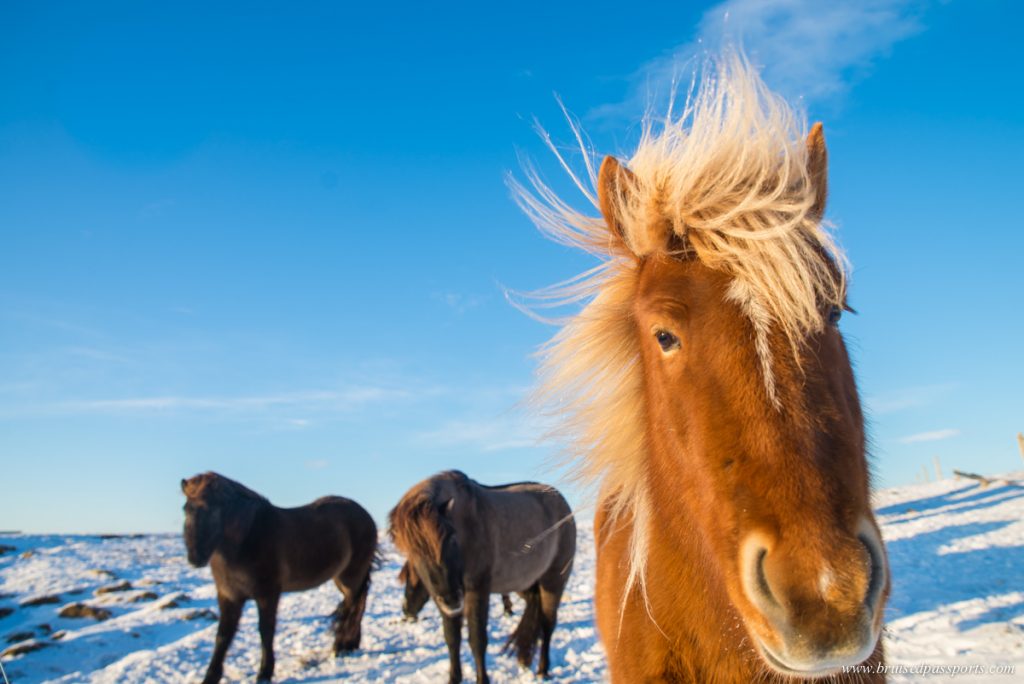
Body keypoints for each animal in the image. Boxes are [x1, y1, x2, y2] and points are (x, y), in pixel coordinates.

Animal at [389, 471, 573, 684]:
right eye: (414, 552)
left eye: (452, 539)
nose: (452, 599)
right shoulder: (443, 601)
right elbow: (452, 639)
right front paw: (454, 678)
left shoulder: (476, 590)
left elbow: (477, 640)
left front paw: (482, 679)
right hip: (523, 583)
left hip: (553, 582)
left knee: (547, 624)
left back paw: (543, 669)